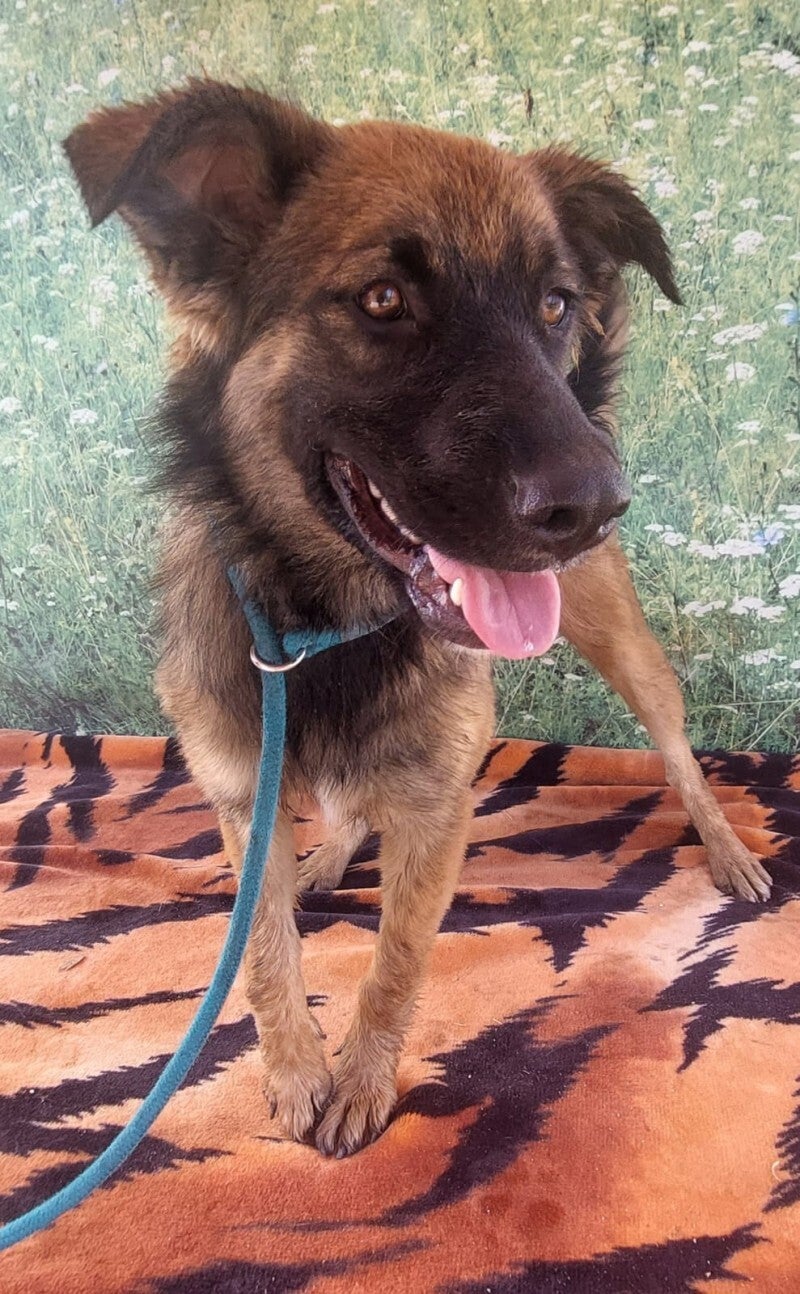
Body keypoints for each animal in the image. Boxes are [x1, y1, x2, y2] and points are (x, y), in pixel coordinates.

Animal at [64, 80, 771, 1157]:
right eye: (383, 300)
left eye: (554, 304)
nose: (596, 504)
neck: (322, 622)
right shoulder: (241, 793)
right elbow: (263, 949)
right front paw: (293, 1069)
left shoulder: (442, 806)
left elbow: (398, 956)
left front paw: (360, 1080)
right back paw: (326, 856)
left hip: (624, 648)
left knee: (682, 755)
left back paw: (725, 847)